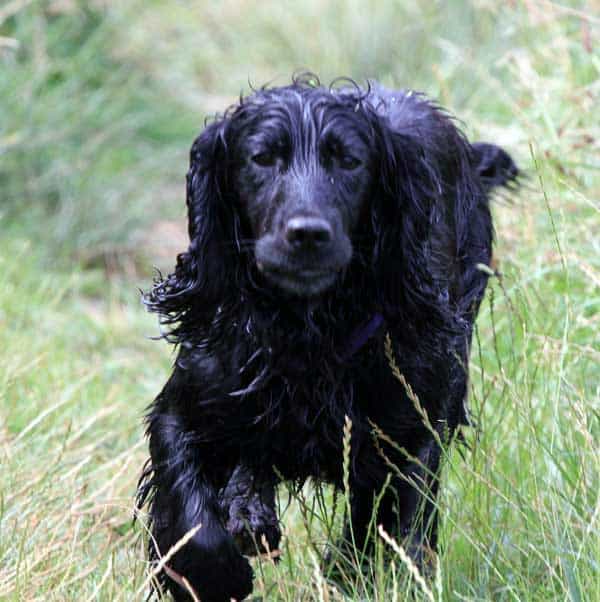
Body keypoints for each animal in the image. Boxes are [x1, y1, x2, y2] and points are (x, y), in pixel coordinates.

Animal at [136, 77, 516, 596]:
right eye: (262, 158)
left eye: (349, 161)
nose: (307, 234)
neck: (307, 333)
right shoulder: (187, 406)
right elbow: (191, 513)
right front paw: (213, 576)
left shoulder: (412, 430)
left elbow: (392, 526)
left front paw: (358, 575)